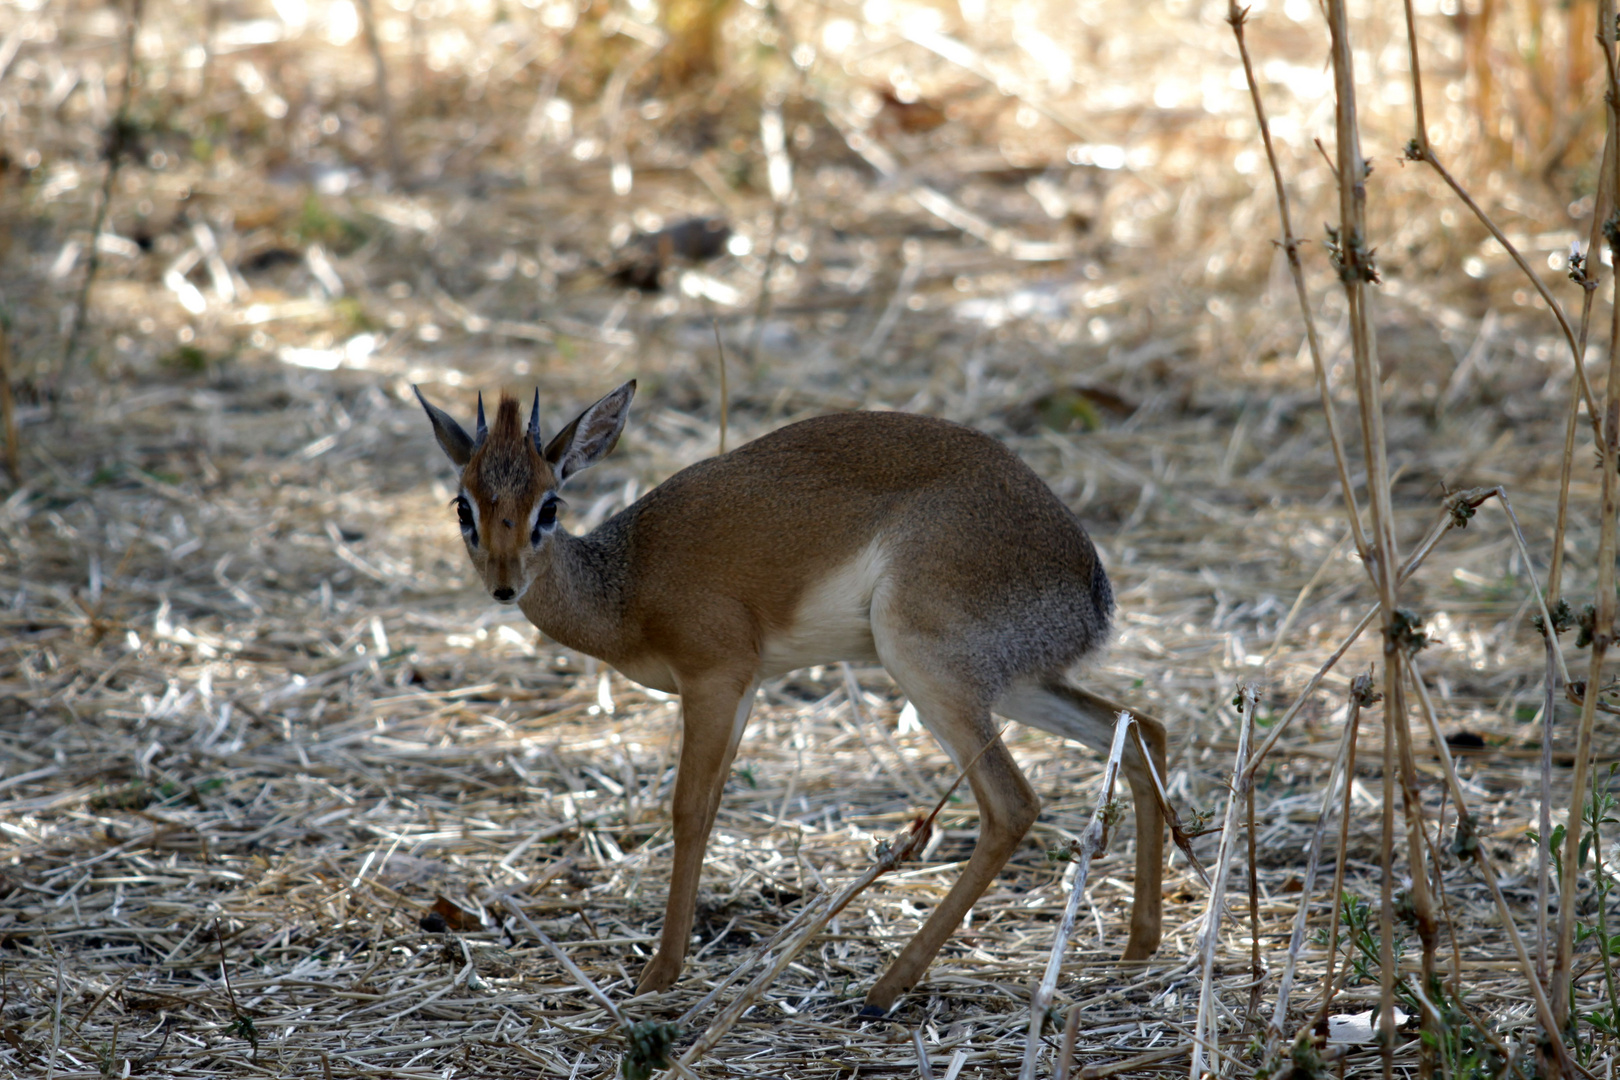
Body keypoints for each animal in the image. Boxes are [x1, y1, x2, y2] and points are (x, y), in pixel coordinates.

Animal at [417, 380, 1166, 1016]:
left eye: (549, 505)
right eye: (464, 505)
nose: (505, 585)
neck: (624, 585)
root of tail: (1090, 583)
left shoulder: (715, 678)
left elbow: (688, 813)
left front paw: (659, 973)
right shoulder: (744, 690)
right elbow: (710, 810)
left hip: (927, 671)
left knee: (1013, 804)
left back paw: (883, 990)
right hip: (1011, 684)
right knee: (1140, 729)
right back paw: (1137, 951)